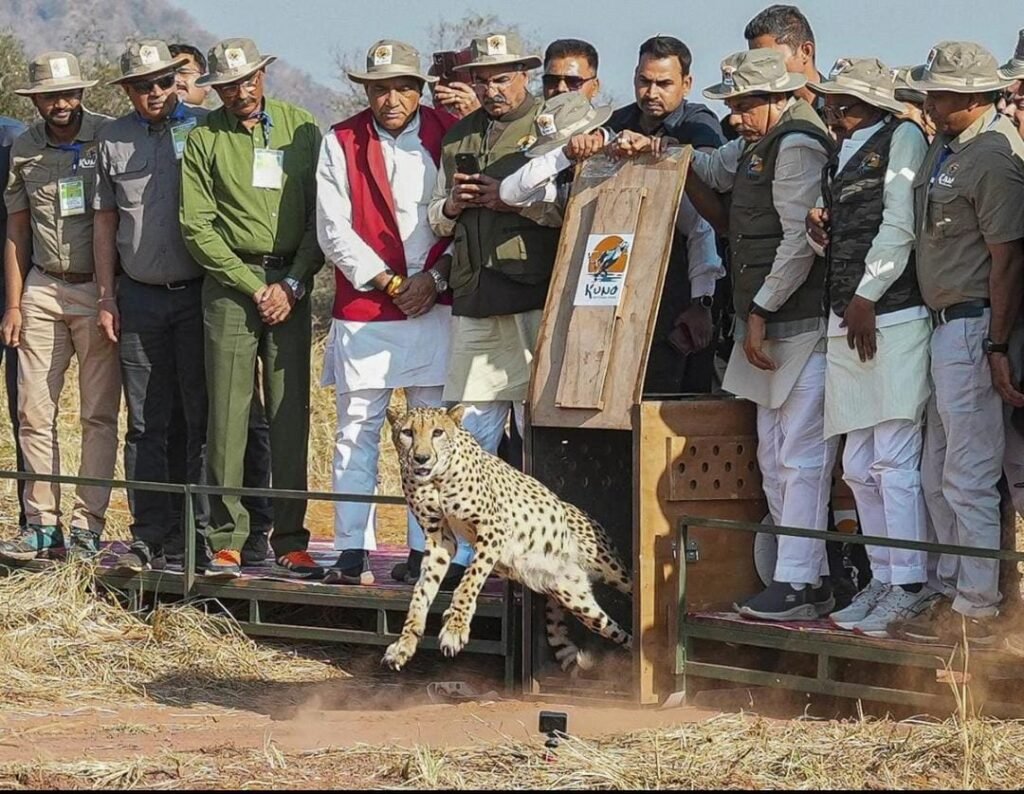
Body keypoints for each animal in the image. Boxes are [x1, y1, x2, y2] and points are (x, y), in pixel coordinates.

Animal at [382, 404, 632, 674]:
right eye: (407, 432)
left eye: (437, 432)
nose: (421, 457)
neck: (436, 478)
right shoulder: (440, 539)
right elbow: (422, 592)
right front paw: (405, 643)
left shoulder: (493, 529)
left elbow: (469, 580)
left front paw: (455, 628)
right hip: (579, 601)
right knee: (616, 630)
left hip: (610, 570)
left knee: (631, 589)